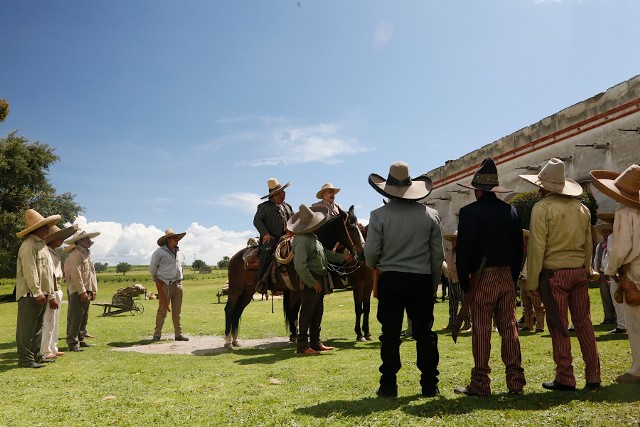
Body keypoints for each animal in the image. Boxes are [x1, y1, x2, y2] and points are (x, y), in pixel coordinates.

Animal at [225, 206, 364, 348]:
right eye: (351, 227)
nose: (362, 254)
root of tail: (234, 258)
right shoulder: (302, 289)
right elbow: (301, 311)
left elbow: (296, 311)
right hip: (236, 288)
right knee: (230, 309)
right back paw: (227, 341)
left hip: (249, 289)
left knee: (238, 309)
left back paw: (235, 340)